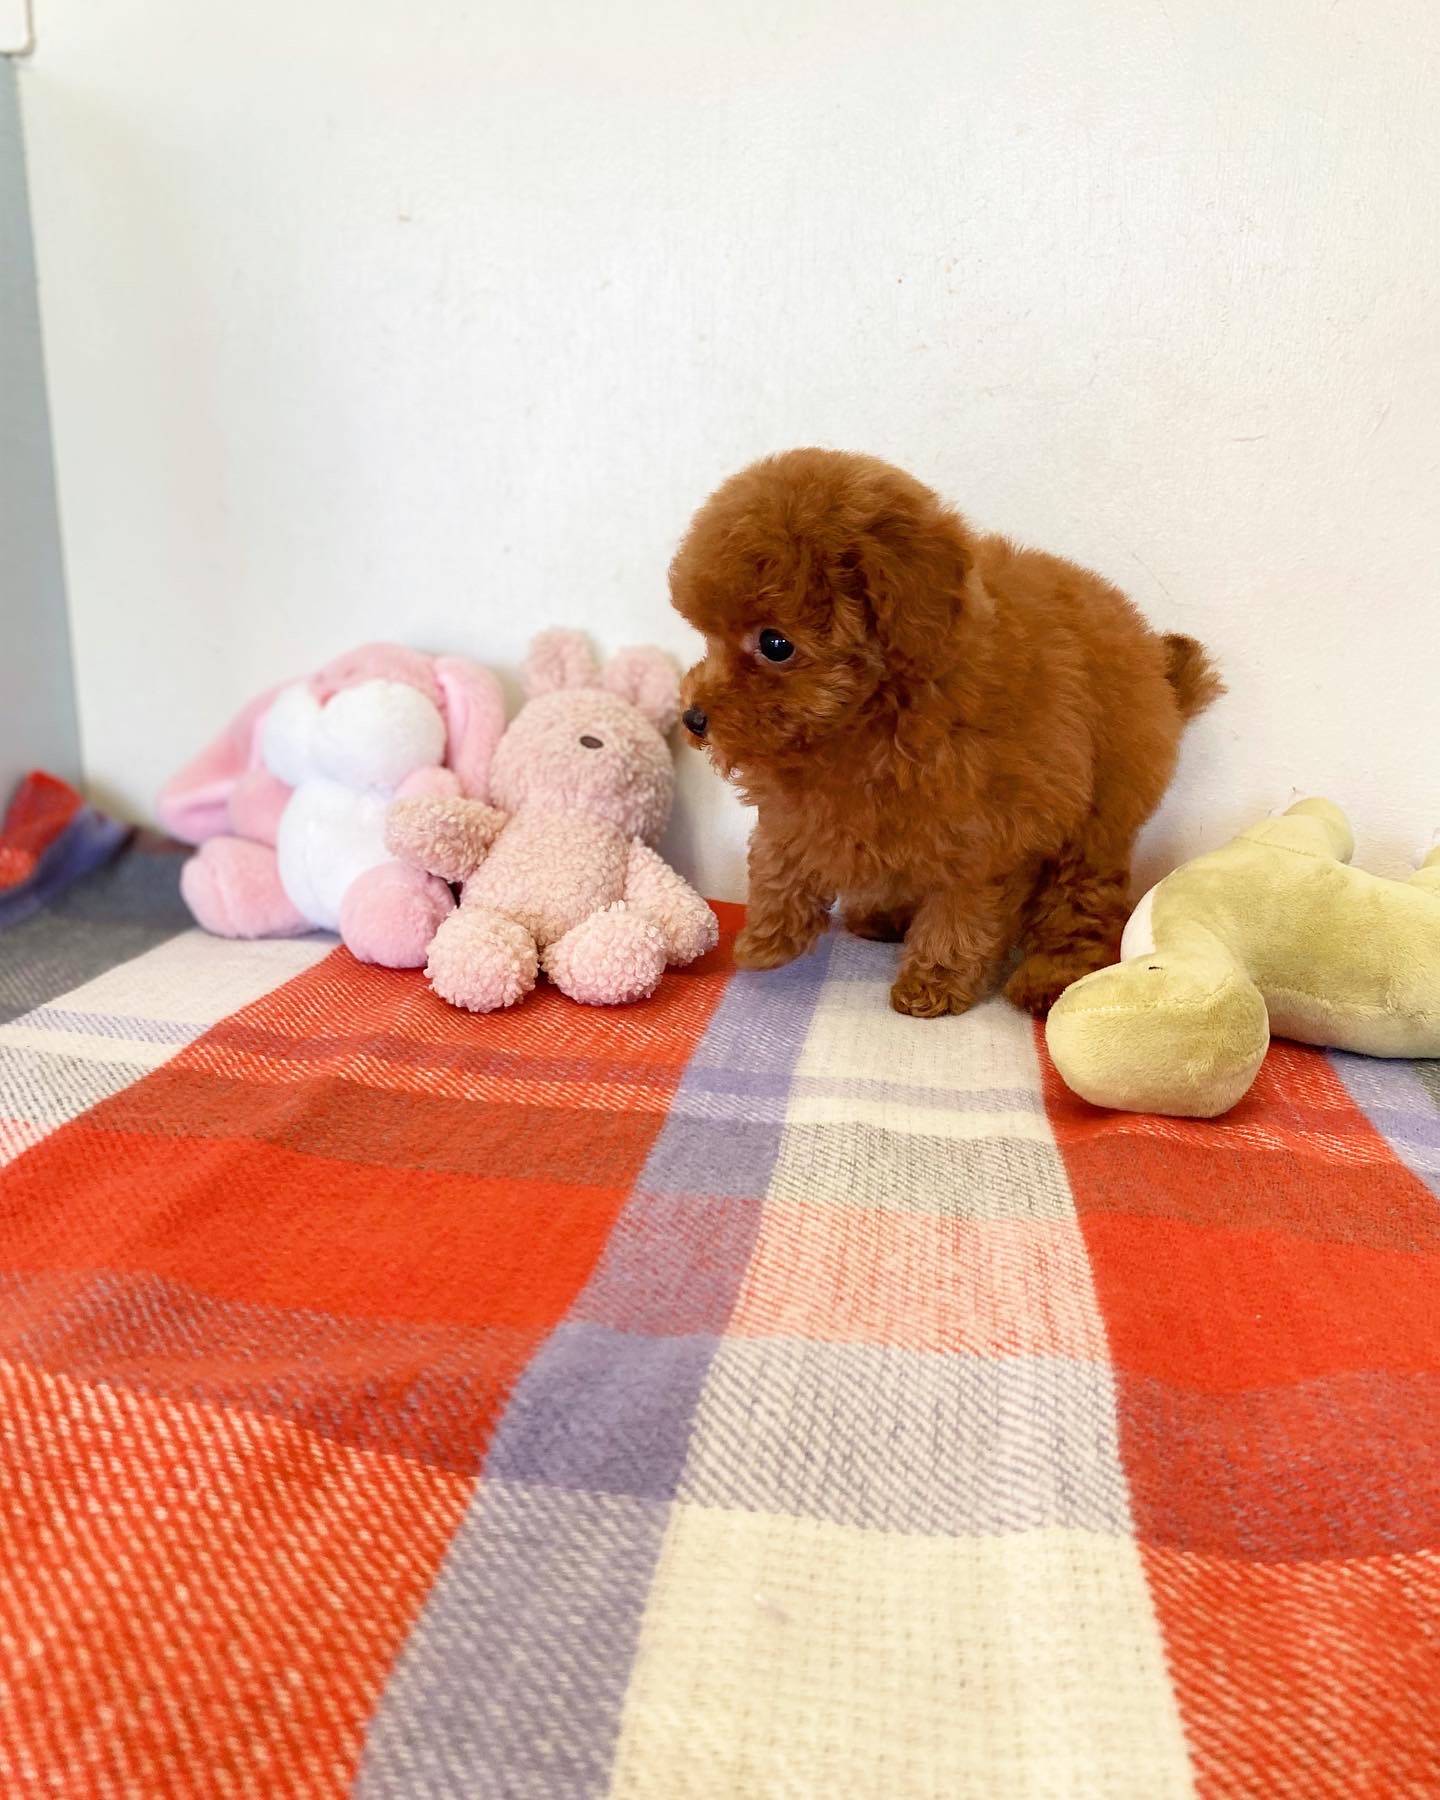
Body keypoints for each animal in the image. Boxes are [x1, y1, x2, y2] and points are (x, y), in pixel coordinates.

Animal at [670, 447, 1222, 1018]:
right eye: (709, 637)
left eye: (775, 644)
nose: (693, 718)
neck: (868, 721)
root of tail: (1157, 666)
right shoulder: (809, 802)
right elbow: (780, 856)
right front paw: (767, 938)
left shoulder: (983, 832)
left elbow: (960, 912)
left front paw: (933, 982)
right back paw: (883, 916)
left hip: (1098, 817)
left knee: (1082, 901)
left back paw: (1050, 977)